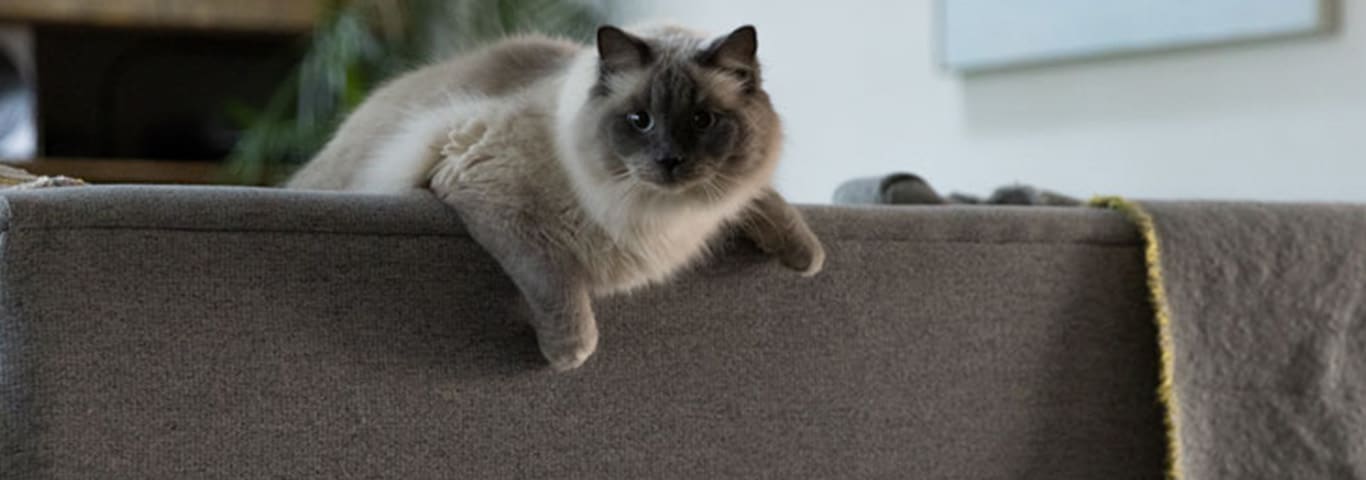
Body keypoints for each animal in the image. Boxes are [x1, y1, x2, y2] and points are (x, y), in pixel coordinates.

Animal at [286, 24, 819, 371]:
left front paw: (808, 257)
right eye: (640, 120)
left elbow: (764, 199)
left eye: (702, 120)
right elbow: (553, 279)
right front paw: (570, 352)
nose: (669, 161)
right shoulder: (493, 193)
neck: (655, 215)